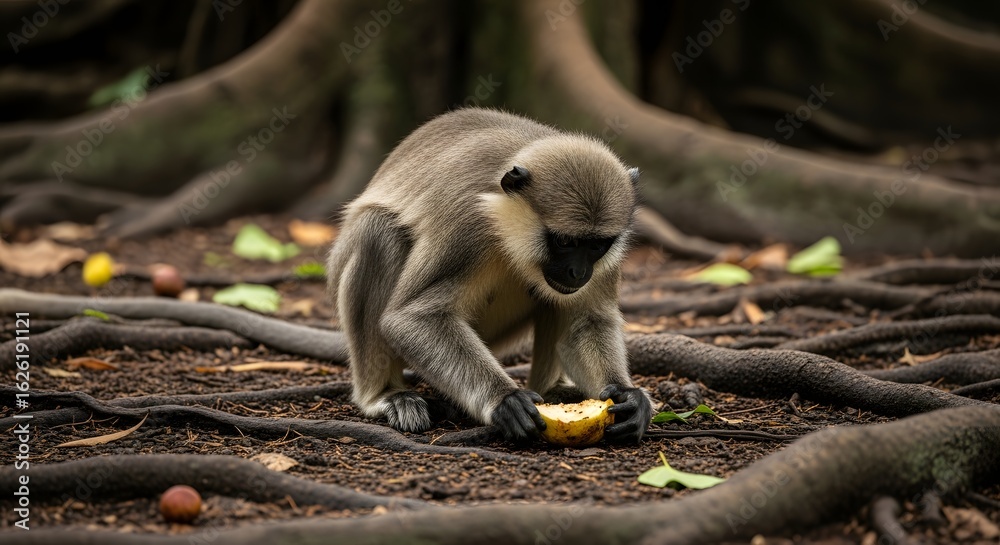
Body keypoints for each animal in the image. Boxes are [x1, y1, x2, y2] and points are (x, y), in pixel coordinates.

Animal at [327, 108, 653, 443]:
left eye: (597, 246)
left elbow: (586, 320)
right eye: (565, 242)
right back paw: (382, 395)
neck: (503, 219)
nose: (579, 271)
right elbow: (409, 319)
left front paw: (627, 396)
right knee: (377, 228)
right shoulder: (470, 223)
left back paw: (550, 389)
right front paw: (505, 400)